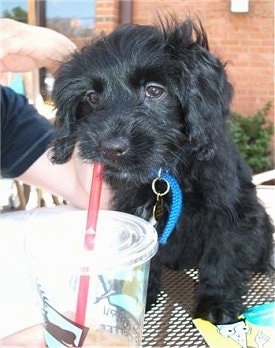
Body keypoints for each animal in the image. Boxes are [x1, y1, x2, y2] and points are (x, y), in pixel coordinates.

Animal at [50, 18, 274, 324]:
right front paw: (139, 295)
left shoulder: (231, 213)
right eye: (92, 97)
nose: (110, 147)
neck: (166, 173)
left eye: (155, 91)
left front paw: (216, 303)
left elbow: (223, 257)